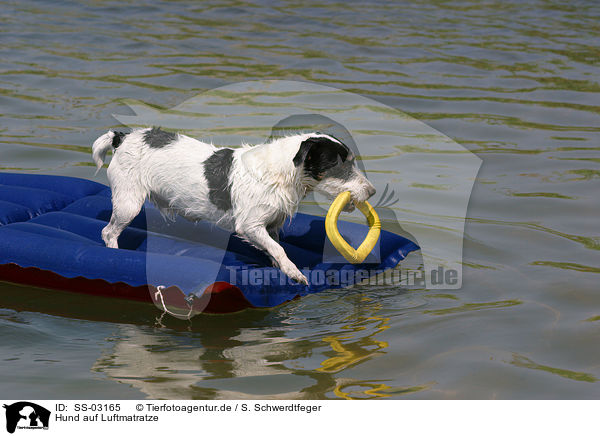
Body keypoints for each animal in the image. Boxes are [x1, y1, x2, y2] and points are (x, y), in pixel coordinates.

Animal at [92, 126, 376, 284]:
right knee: (108, 232)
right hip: (128, 203)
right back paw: (116, 254)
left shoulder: (271, 226)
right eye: (339, 165)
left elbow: (275, 248)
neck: (282, 173)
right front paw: (294, 272)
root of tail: (123, 138)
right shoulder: (250, 226)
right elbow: (279, 249)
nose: (372, 191)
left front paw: (281, 268)